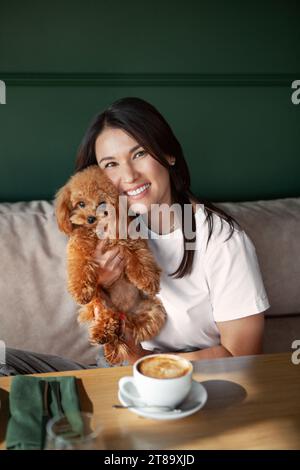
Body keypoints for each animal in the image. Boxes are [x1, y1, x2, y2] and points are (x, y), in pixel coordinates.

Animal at [54, 167, 166, 366]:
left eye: (102, 203)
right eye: (81, 203)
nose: (91, 218)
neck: (99, 232)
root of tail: (124, 313)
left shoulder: (131, 240)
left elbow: (140, 258)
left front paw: (148, 281)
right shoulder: (79, 248)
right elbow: (80, 266)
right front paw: (81, 291)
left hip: (154, 311)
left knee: (134, 329)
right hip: (100, 301)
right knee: (109, 318)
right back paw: (104, 336)